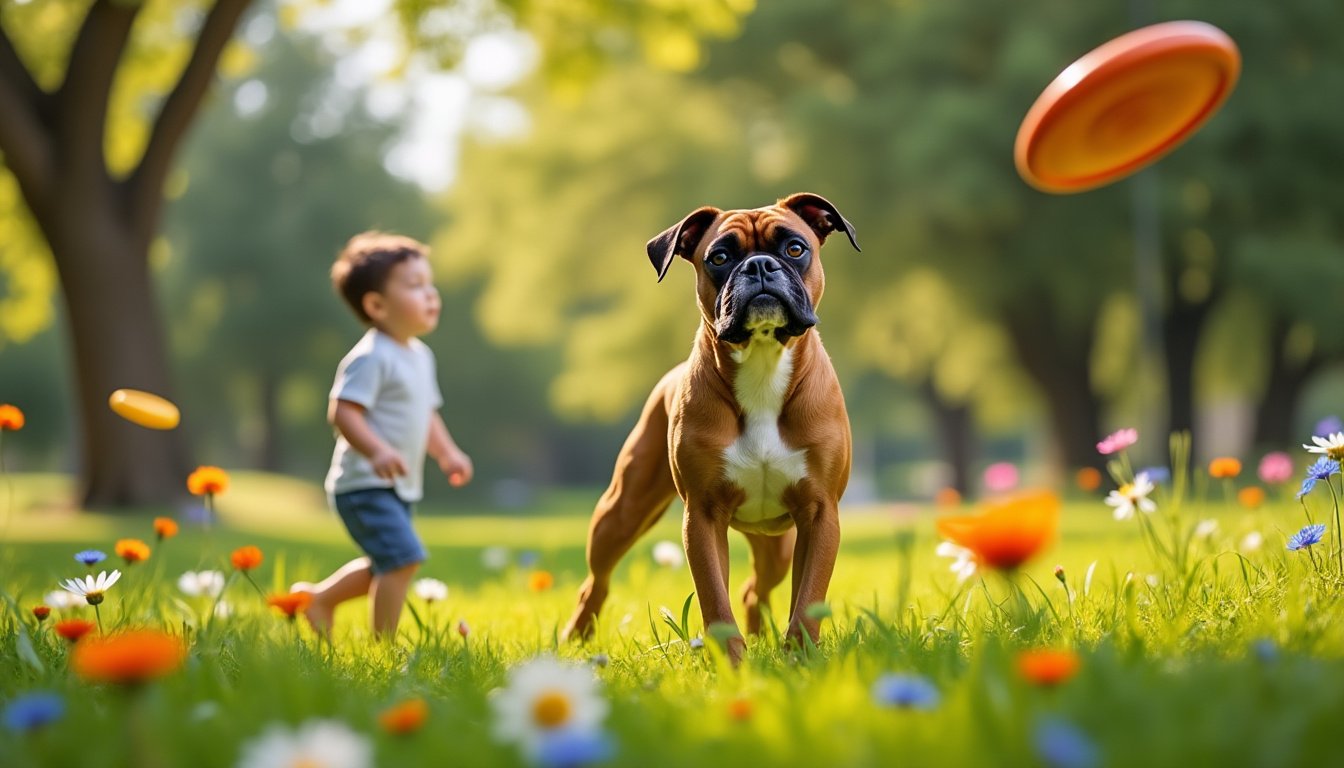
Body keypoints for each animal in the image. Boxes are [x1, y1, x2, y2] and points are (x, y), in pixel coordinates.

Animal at [559, 193, 860, 661]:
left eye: (795, 248)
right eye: (719, 257)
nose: (759, 265)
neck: (762, 365)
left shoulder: (819, 514)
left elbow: (808, 597)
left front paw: (799, 660)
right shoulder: (702, 517)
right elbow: (715, 599)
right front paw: (733, 664)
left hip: (777, 543)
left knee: (757, 588)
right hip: (620, 514)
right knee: (597, 582)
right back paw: (577, 635)